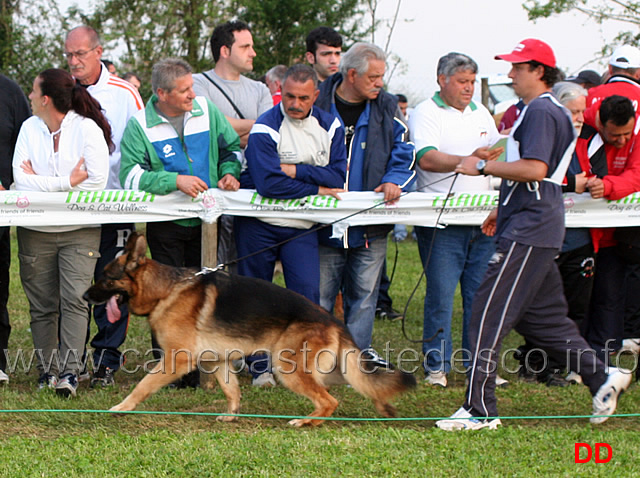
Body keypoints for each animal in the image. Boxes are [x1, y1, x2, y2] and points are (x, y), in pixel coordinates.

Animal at [84, 233, 416, 428]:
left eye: (106, 279)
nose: (85, 297)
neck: (165, 290)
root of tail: (334, 322)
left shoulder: (175, 361)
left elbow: (143, 386)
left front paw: (121, 407)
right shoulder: (217, 361)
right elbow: (232, 389)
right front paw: (232, 414)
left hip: (289, 368)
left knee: (329, 400)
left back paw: (306, 422)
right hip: (329, 369)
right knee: (364, 382)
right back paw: (383, 406)